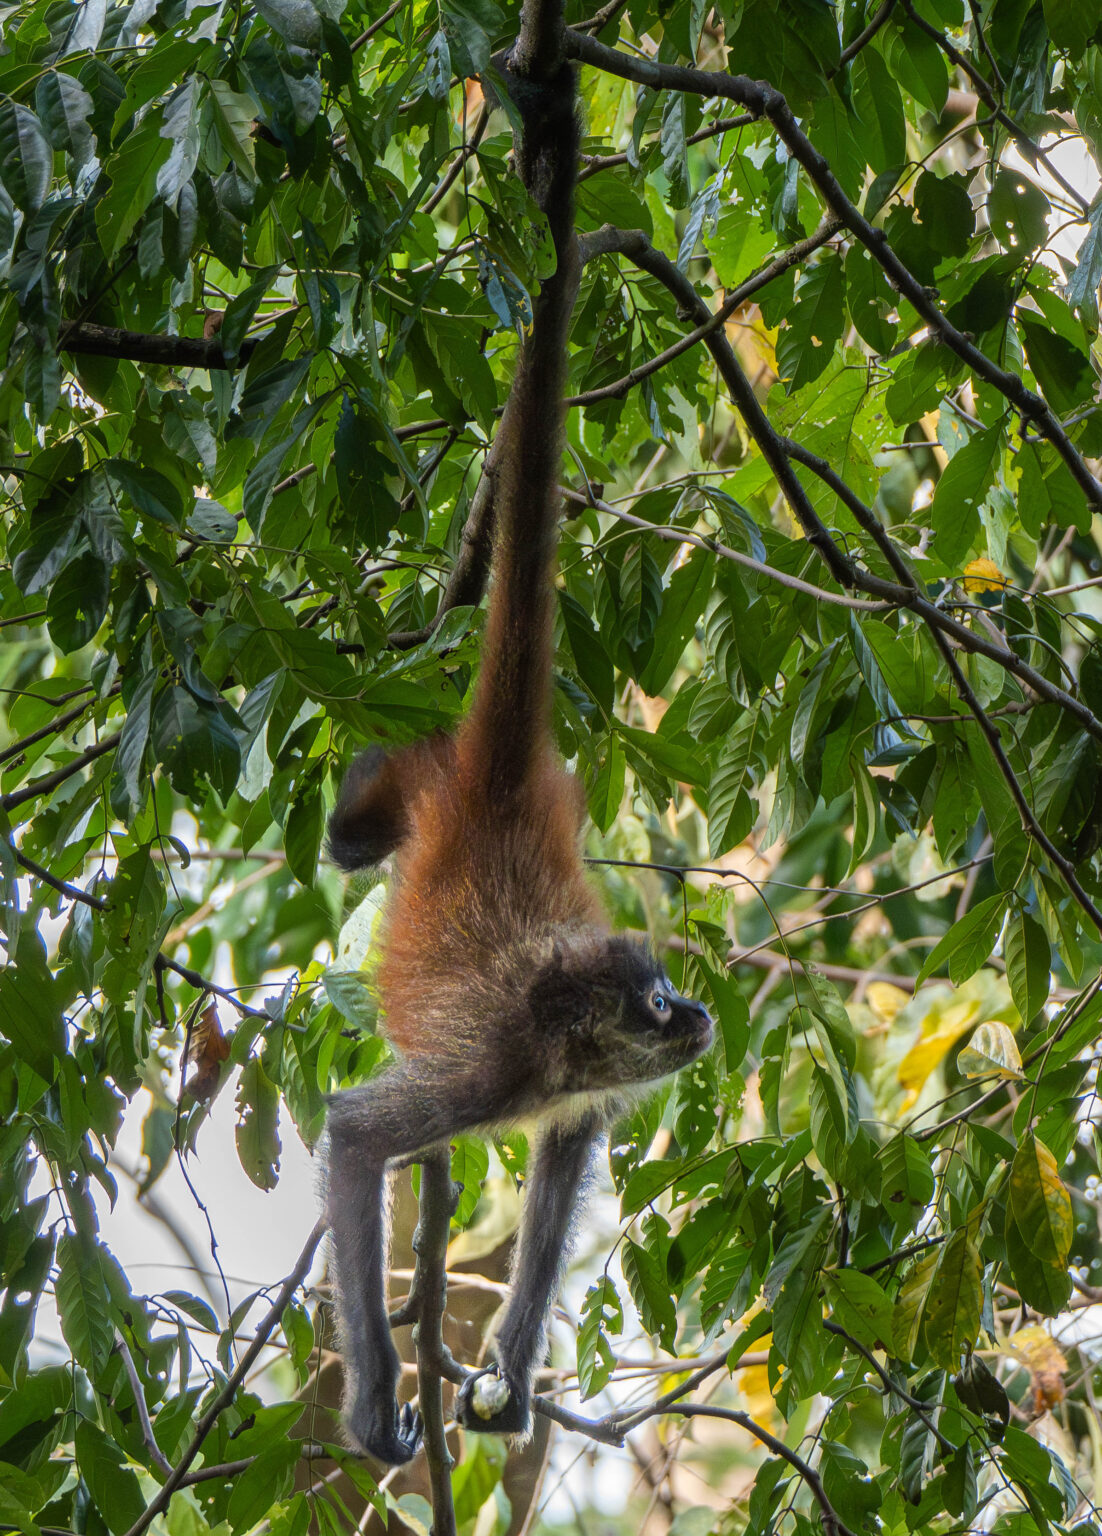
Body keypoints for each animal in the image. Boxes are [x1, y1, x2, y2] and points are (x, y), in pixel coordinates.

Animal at [323, 52, 714, 1468]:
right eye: (651, 1005)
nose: (694, 1012)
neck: (555, 1038)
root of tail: (490, 789)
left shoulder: (560, 1089)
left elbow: (572, 1140)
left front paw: (506, 1365)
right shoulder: (492, 1068)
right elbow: (352, 1137)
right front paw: (376, 1399)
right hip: (416, 787)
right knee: (353, 832)